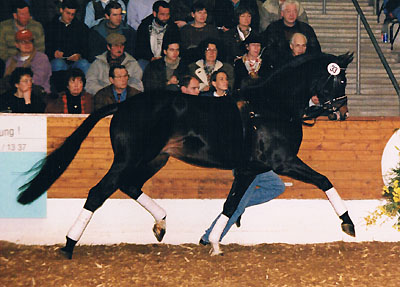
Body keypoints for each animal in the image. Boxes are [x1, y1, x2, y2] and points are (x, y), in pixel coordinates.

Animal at [18, 52, 356, 258]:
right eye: (340, 79)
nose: (341, 112)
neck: (272, 107)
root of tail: (124, 105)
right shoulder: (283, 162)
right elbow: (324, 180)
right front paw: (348, 223)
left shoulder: (249, 170)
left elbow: (230, 204)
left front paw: (214, 243)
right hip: (129, 159)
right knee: (98, 192)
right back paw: (69, 245)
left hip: (155, 159)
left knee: (128, 185)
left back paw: (161, 224)